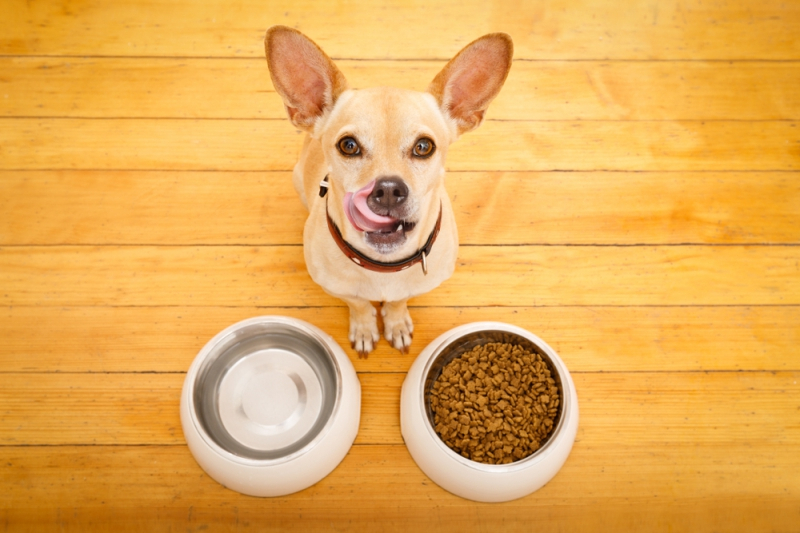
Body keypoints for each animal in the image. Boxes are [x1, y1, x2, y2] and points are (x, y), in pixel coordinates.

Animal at [262, 26, 512, 358]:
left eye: (424, 147)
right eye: (348, 145)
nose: (389, 190)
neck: (383, 268)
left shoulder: (412, 287)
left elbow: (398, 301)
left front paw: (396, 323)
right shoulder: (337, 288)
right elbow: (357, 303)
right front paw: (365, 327)